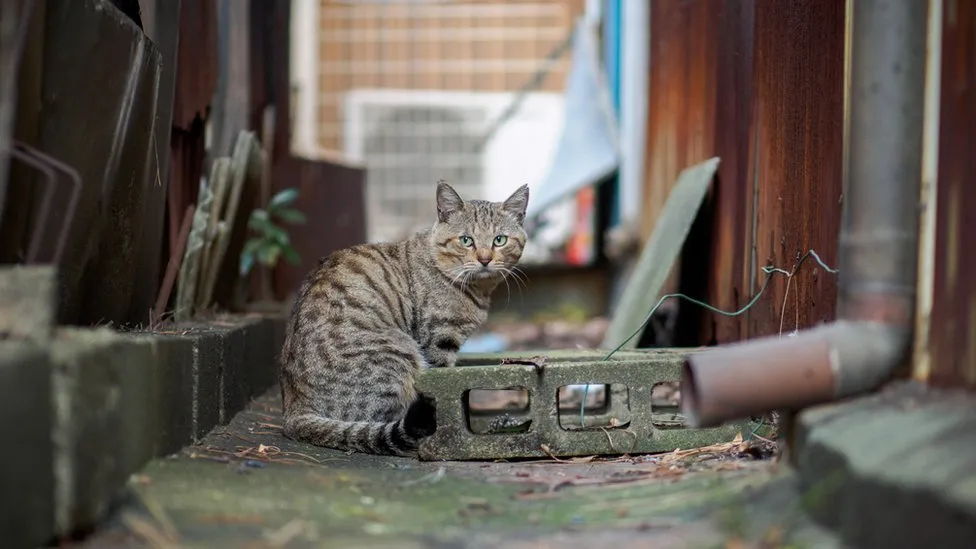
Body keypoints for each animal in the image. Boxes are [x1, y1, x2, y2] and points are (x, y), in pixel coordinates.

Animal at [278, 180, 528, 454]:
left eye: (499, 240)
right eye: (466, 240)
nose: (485, 259)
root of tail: (293, 410)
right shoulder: (439, 341)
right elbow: (445, 390)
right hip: (399, 354)